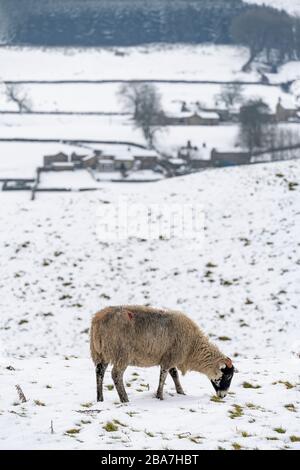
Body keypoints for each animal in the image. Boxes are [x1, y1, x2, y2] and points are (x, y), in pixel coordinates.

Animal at [89, 304, 234, 404]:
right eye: (228, 376)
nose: (223, 395)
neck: (193, 347)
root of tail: (98, 320)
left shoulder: (170, 357)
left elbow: (174, 374)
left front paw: (181, 392)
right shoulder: (170, 357)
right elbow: (163, 376)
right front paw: (160, 396)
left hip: (100, 353)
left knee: (99, 372)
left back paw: (100, 398)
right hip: (121, 353)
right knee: (116, 375)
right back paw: (124, 399)